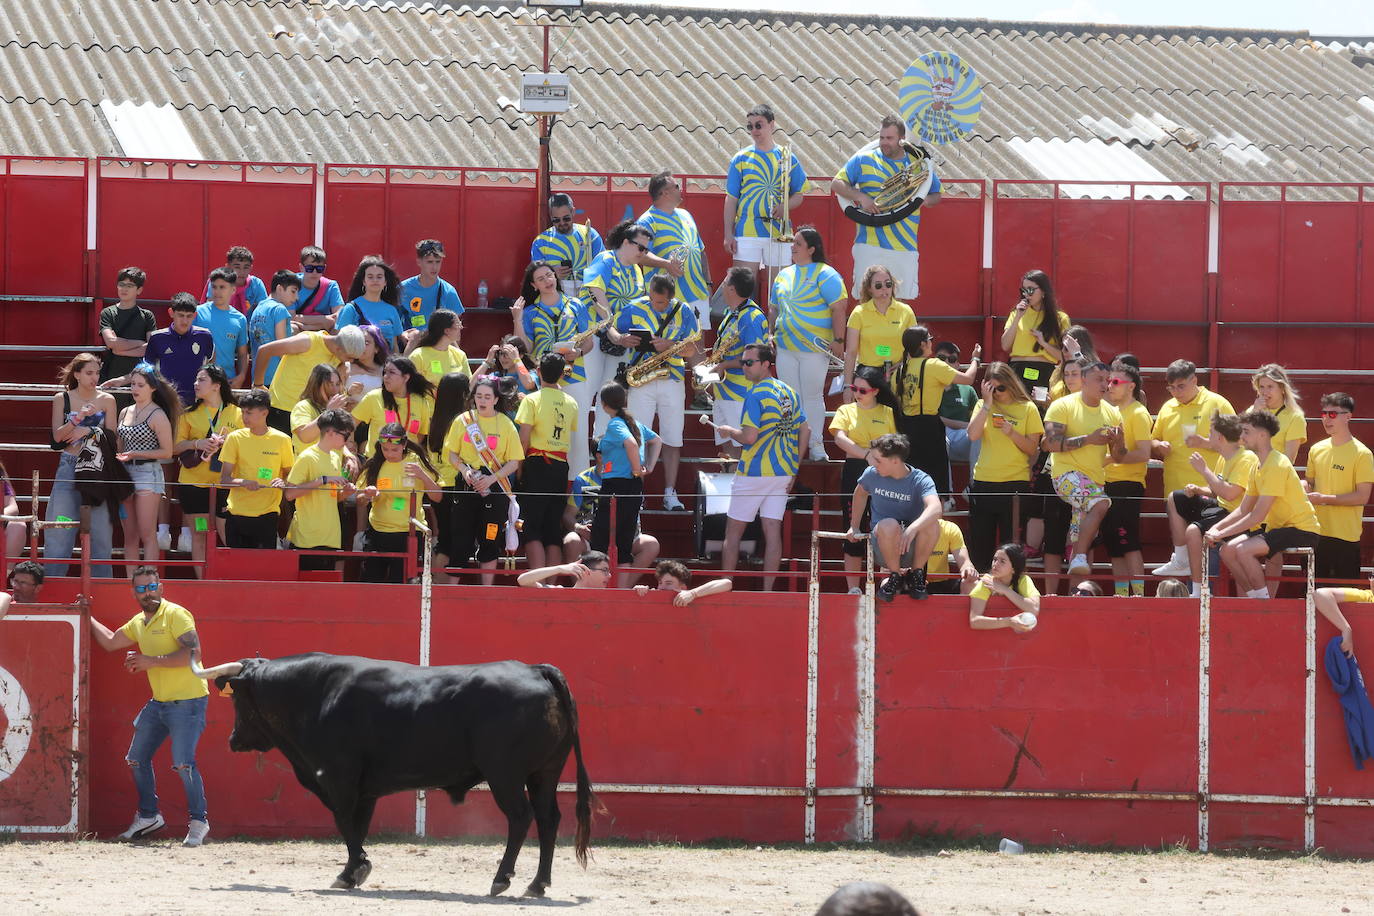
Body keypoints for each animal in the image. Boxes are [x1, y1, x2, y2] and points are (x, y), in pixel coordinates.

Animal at [215, 650, 596, 895]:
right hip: (545, 773)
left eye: (236, 699)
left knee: (520, 817)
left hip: (505, 775)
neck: (315, 694)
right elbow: (358, 826)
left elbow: (345, 822)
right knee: (548, 819)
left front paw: (354, 870)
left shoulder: (337, 778)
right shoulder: (364, 789)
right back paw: (537, 885)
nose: (233, 740)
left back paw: (501, 879)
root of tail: (534, 670)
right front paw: (352, 872)